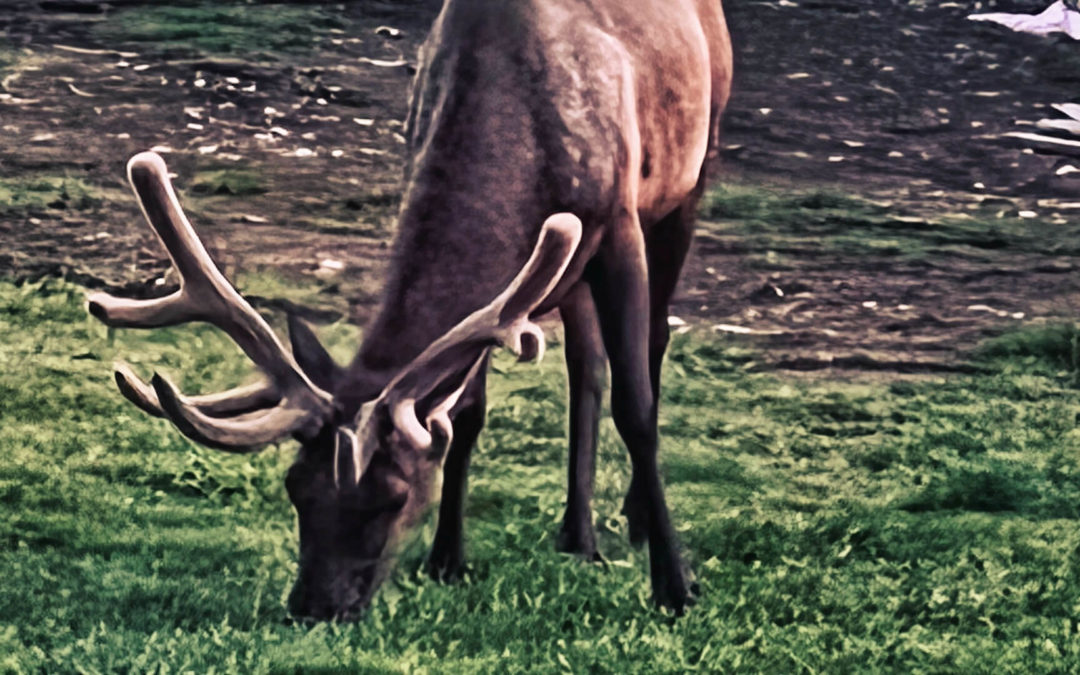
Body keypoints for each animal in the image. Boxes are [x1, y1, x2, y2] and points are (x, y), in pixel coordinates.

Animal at [88, 0, 734, 622]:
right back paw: (577, 534)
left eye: (393, 498)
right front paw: (447, 558)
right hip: (575, 274)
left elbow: (637, 410)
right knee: (586, 366)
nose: (314, 606)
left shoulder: (620, 223)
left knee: (652, 344)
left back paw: (634, 520)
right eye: (295, 487)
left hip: (692, 168)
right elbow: (465, 413)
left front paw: (675, 586)